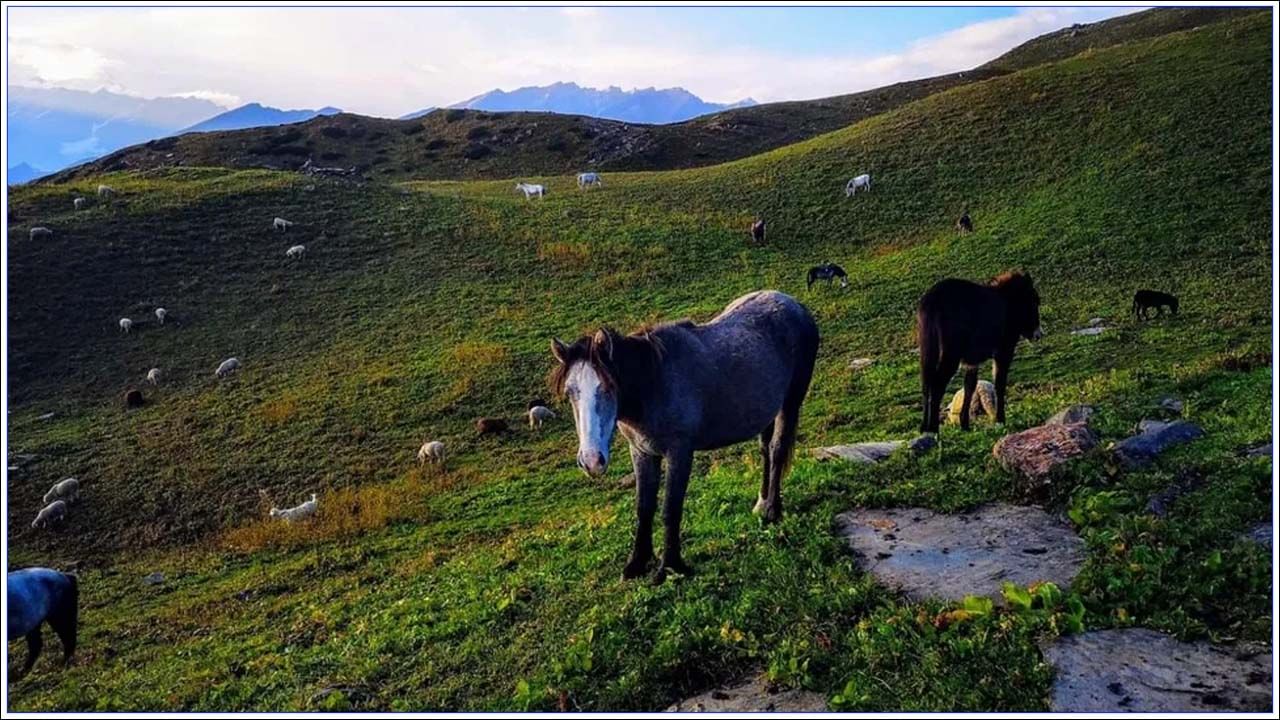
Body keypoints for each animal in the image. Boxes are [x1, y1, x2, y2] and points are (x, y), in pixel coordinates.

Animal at [545, 288, 814, 579]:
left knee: (777, 450)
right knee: (765, 451)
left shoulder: (679, 453)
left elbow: (670, 509)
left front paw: (670, 567)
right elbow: (644, 508)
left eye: (608, 387)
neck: (654, 383)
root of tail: (794, 304)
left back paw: (773, 511)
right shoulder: (641, 452)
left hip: (791, 402)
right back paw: (762, 504)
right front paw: (637, 563)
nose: (591, 461)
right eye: (570, 392)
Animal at [921, 270, 1039, 430]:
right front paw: (1000, 421)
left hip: (928, 350)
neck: (1006, 303)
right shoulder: (1004, 351)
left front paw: (965, 424)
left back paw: (925, 428)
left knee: (926, 384)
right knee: (937, 384)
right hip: (950, 355)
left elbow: (970, 386)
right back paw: (933, 429)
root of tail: (932, 300)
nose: (1038, 334)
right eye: (1034, 301)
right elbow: (999, 384)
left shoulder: (972, 361)